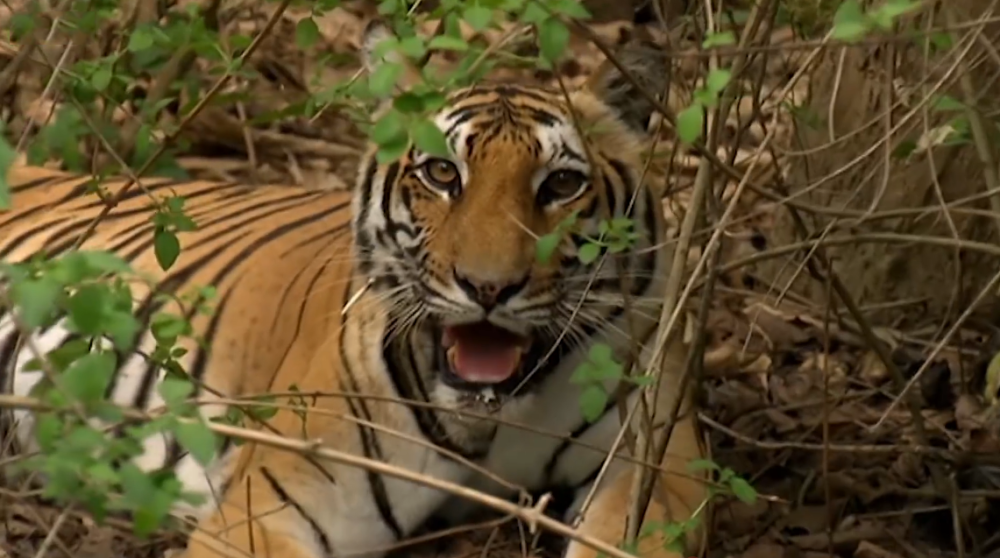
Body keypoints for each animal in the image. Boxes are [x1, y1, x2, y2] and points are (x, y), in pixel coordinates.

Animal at [0, 19, 708, 558]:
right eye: (442, 173)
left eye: (561, 185)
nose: (488, 287)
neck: (488, 422)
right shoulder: (270, 510)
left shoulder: (658, 469)